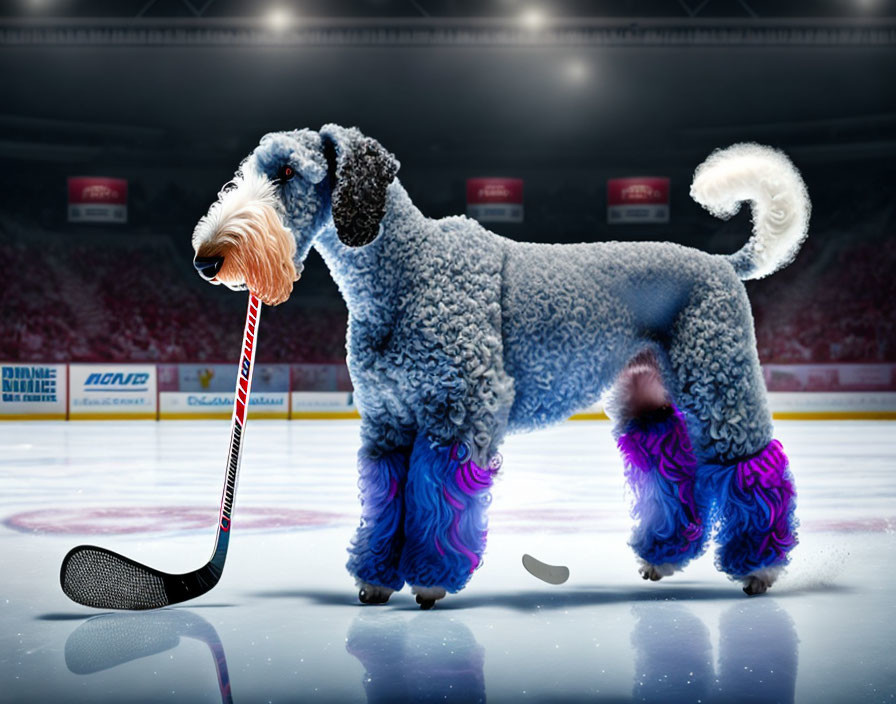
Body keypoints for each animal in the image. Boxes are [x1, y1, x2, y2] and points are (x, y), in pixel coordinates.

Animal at [192, 125, 808, 604]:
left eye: (288, 171)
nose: (207, 258)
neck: (403, 273)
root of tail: (725, 264)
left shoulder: (458, 413)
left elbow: (436, 499)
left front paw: (430, 579)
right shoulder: (389, 425)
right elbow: (386, 501)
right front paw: (376, 578)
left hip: (720, 386)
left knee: (754, 465)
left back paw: (759, 566)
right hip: (647, 396)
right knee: (670, 464)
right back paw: (662, 554)